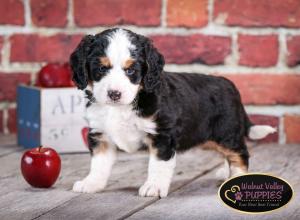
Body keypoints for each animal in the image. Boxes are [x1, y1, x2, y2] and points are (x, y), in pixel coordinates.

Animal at [69, 27, 276, 198]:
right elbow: (99, 164)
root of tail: (230, 85)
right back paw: (227, 171)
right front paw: (91, 183)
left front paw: (153, 187)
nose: (114, 94)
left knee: (240, 153)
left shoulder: (162, 135)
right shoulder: (100, 135)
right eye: (101, 68)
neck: (123, 107)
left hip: (226, 133)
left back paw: (236, 176)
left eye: (131, 70)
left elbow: (158, 165)